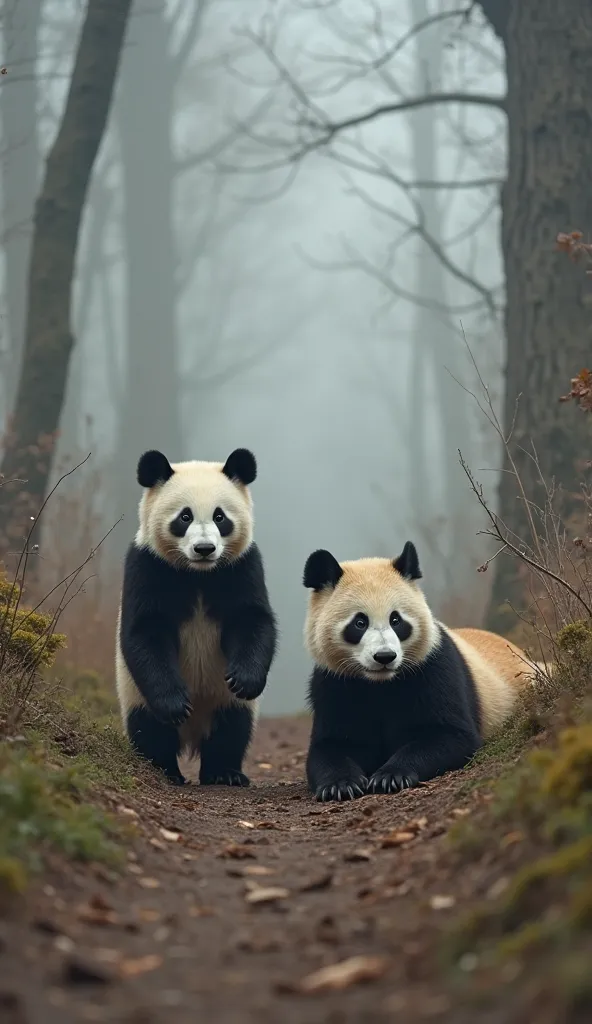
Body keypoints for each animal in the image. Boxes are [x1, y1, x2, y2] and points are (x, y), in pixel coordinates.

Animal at [114, 444, 276, 786]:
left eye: (220, 516)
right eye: (184, 516)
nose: (204, 548)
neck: (199, 575)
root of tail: (192, 734)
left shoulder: (242, 565)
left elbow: (252, 619)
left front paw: (245, 679)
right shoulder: (147, 565)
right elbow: (144, 633)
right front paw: (175, 704)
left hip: (222, 699)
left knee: (232, 727)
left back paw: (224, 773)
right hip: (135, 693)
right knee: (149, 729)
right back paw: (165, 769)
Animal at [301, 540, 532, 802]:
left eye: (396, 620)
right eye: (359, 623)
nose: (385, 657)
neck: (380, 683)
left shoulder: (432, 667)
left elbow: (450, 735)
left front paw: (390, 776)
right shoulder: (335, 682)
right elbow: (330, 745)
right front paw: (340, 785)